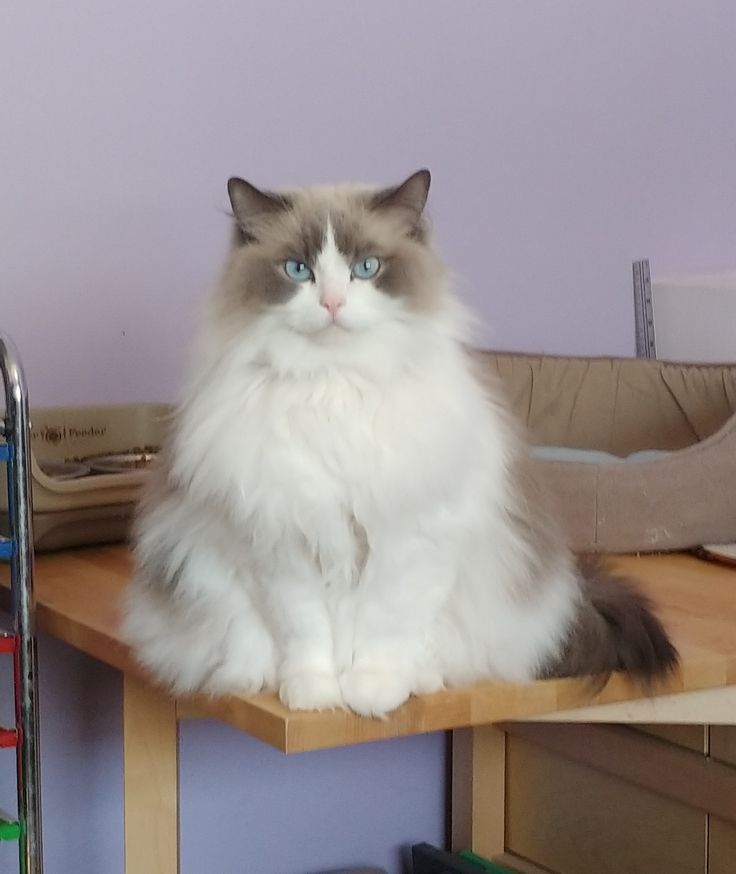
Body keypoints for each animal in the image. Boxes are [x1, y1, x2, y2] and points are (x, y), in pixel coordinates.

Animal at [122, 169, 680, 716]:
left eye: (366, 267)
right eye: (298, 270)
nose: (332, 302)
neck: (336, 386)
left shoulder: (410, 539)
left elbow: (385, 627)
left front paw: (372, 693)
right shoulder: (283, 542)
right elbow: (306, 634)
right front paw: (315, 695)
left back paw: (421, 681)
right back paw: (259, 678)